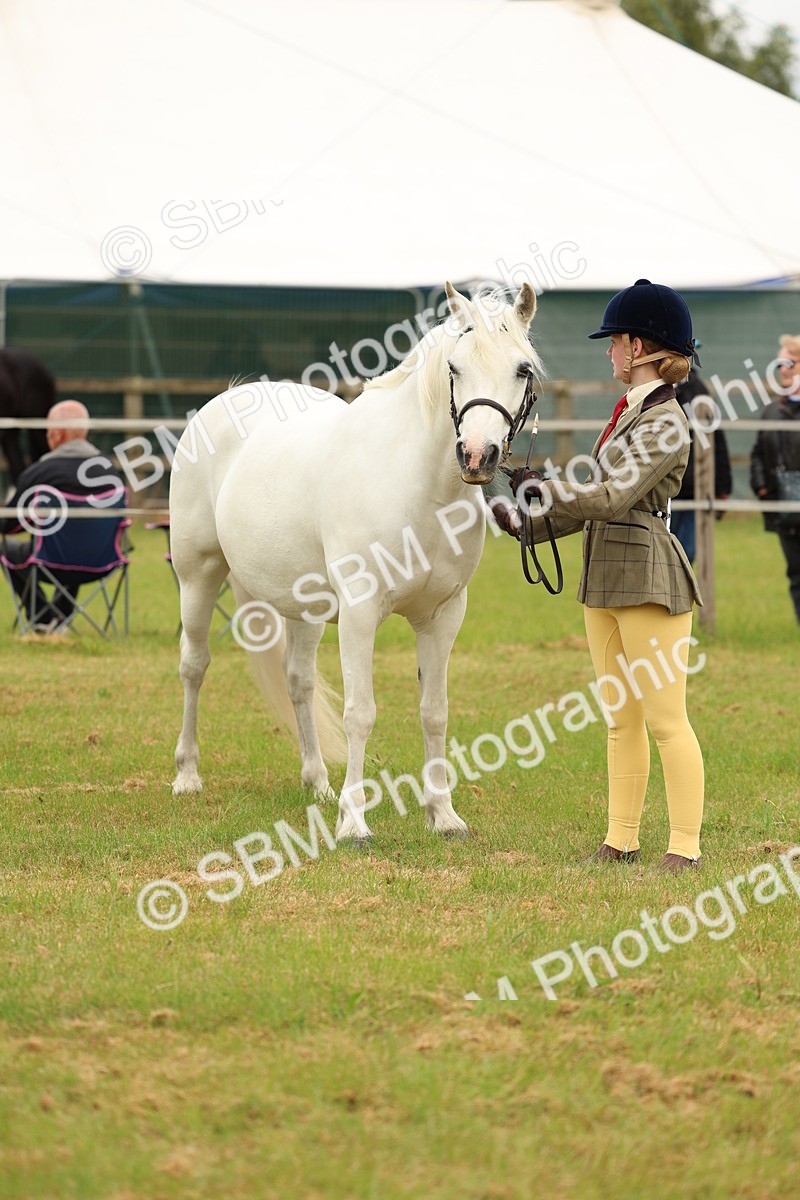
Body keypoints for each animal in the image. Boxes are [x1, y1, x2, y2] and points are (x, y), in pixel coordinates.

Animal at [169, 282, 542, 841]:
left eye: (521, 369)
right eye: (454, 367)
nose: (478, 456)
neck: (417, 486)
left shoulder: (443, 617)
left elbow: (434, 712)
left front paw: (443, 814)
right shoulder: (360, 613)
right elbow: (360, 713)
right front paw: (353, 822)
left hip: (303, 607)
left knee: (298, 681)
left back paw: (318, 782)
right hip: (198, 576)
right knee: (194, 667)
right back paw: (188, 776)